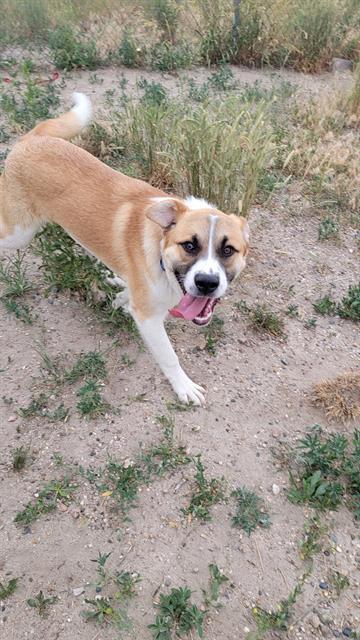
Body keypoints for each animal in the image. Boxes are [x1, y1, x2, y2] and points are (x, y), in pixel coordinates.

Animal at [0, 94, 249, 404]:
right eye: (189, 245)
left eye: (228, 250)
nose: (206, 283)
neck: (162, 258)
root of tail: (32, 138)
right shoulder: (149, 320)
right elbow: (170, 357)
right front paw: (184, 386)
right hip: (18, 233)